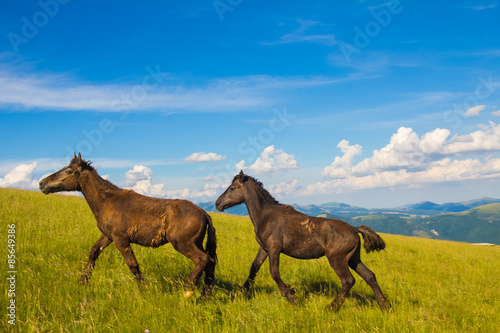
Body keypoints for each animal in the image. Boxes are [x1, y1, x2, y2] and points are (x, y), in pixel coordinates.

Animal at [39, 153, 217, 296]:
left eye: (68, 171)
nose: (42, 184)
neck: (107, 200)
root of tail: (203, 213)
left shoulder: (120, 240)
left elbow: (133, 265)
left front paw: (144, 290)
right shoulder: (108, 236)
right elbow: (94, 252)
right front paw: (82, 281)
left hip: (182, 243)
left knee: (202, 260)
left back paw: (187, 290)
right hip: (196, 243)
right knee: (210, 262)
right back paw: (205, 295)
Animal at [217, 171, 388, 312]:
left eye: (232, 188)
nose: (217, 203)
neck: (266, 217)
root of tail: (354, 229)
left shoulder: (274, 249)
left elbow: (274, 273)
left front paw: (292, 297)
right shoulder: (264, 248)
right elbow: (254, 267)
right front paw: (244, 291)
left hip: (337, 259)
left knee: (348, 281)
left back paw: (331, 307)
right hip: (353, 258)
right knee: (370, 276)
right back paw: (384, 306)